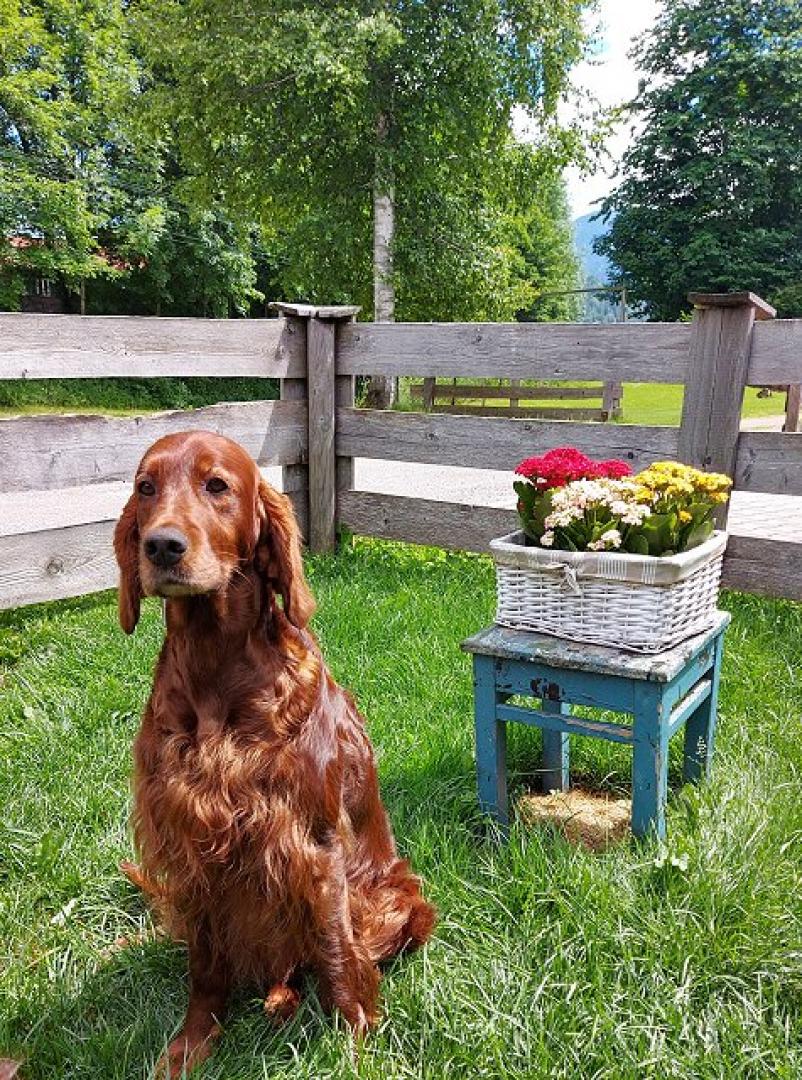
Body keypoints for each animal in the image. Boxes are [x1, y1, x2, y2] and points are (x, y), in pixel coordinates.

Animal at [114, 427, 433, 1071]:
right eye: (145, 486)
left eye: (217, 485)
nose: (162, 546)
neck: (216, 667)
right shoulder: (192, 841)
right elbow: (205, 964)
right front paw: (191, 1044)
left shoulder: (311, 843)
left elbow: (336, 953)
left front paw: (355, 1044)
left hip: (401, 902)